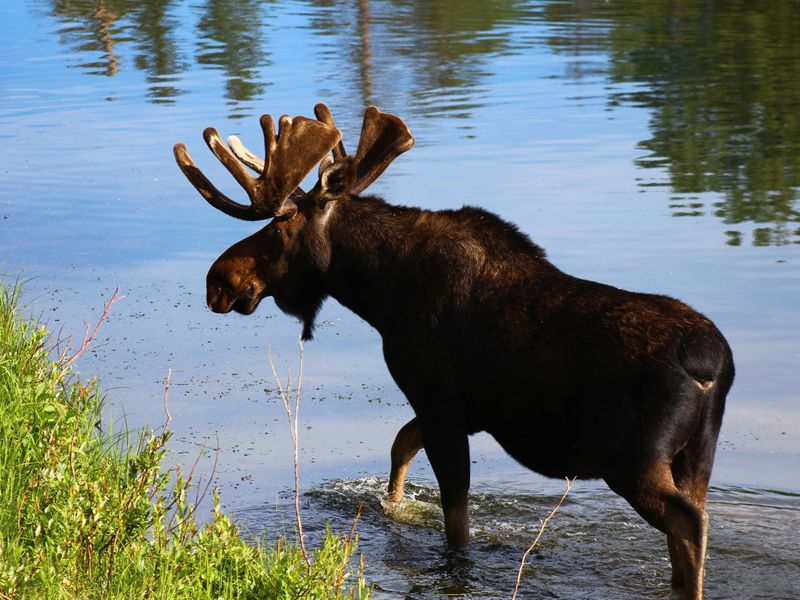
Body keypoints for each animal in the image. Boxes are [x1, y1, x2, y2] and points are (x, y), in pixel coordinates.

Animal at [173, 101, 732, 596]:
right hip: (696, 456)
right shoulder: (462, 409)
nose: (217, 280)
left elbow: (454, 513)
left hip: (634, 459)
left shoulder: (437, 397)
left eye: (281, 224)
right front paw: (393, 504)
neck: (379, 293)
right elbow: (401, 443)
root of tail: (712, 366)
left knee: (689, 524)